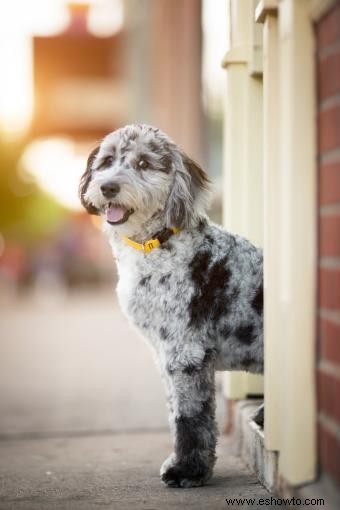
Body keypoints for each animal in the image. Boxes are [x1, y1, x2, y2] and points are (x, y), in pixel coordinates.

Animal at [79, 124, 262, 490]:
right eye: (106, 161)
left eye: (143, 163)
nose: (108, 186)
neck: (157, 244)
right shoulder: (164, 353)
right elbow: (178, 409)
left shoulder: (185, 352)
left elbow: (188, 415)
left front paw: (186, 471)